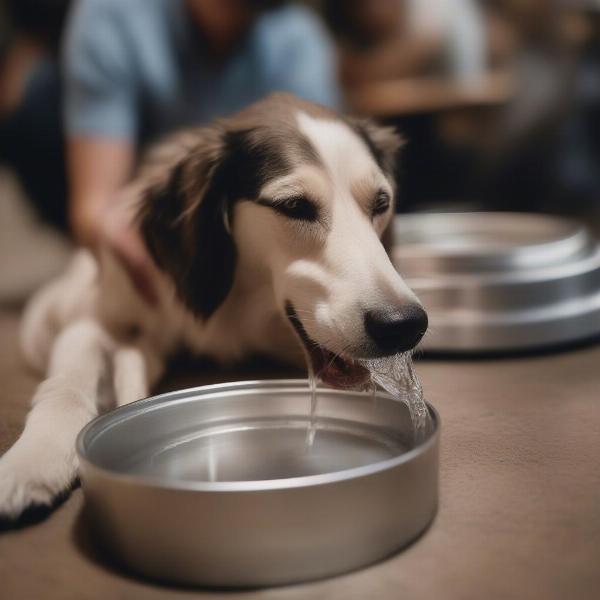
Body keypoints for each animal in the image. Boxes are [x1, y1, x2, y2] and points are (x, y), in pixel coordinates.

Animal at [0, 91, 426, 516]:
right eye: (294, 206)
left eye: (381, 203)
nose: (404, 324)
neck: (236, 302)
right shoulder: (96, 319)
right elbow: (66, 386)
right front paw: (33, 459)